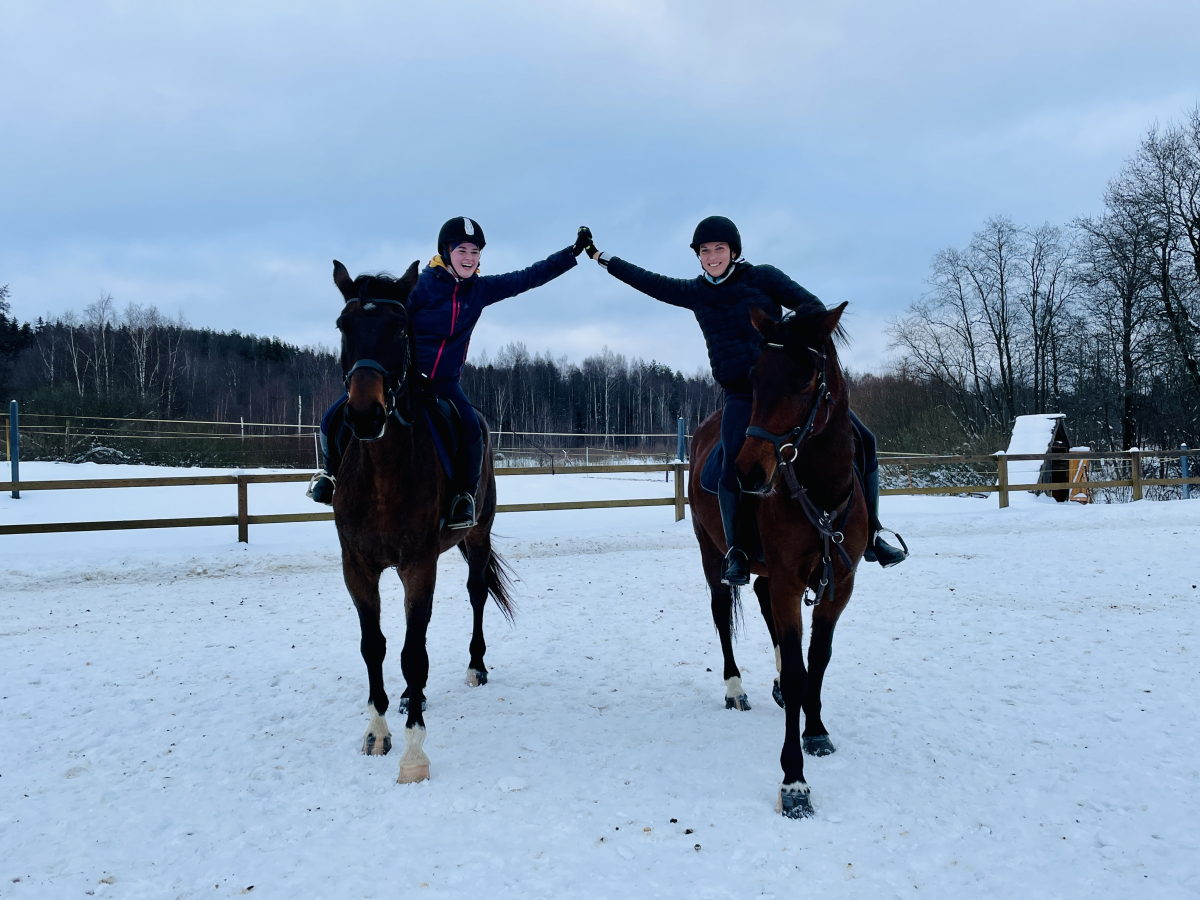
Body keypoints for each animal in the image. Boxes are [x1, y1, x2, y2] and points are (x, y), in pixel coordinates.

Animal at [331, 259, 513, 782]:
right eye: (343, 325)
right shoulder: (358, 567)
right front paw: (378, 732)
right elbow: (374, 644)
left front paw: (414, 754)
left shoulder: (419, 564)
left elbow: (413, 651)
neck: (384, 472)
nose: (364, 414)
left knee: (476, 595)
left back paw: (475, 668)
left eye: (399, 328)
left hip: (476, 536)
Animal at [686, 301, 873, 816]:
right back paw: (736, 688)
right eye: (755, 376)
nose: (748, 472)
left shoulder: (838, 585)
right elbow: (796, 673)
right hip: (712, 553)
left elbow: (817, 661)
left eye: (807, 380)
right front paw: (794, 783)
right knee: (722, 613)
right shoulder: (791, 580)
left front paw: (816, 731)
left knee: (765, 604)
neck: (821, 491)